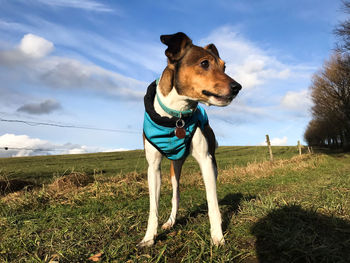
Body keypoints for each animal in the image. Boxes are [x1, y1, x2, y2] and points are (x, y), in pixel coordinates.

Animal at [138, 32, 242, 248]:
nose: (238, 87)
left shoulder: (205, 160)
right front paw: (149, 238)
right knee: (175, 195)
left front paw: (217, 236)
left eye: (224, 67)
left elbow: (212, 202)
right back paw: (171, 221)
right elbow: (153, 207)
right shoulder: (153, 167)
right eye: (204, 63)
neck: (176, 116)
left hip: (211, 163)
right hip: (174, 168)